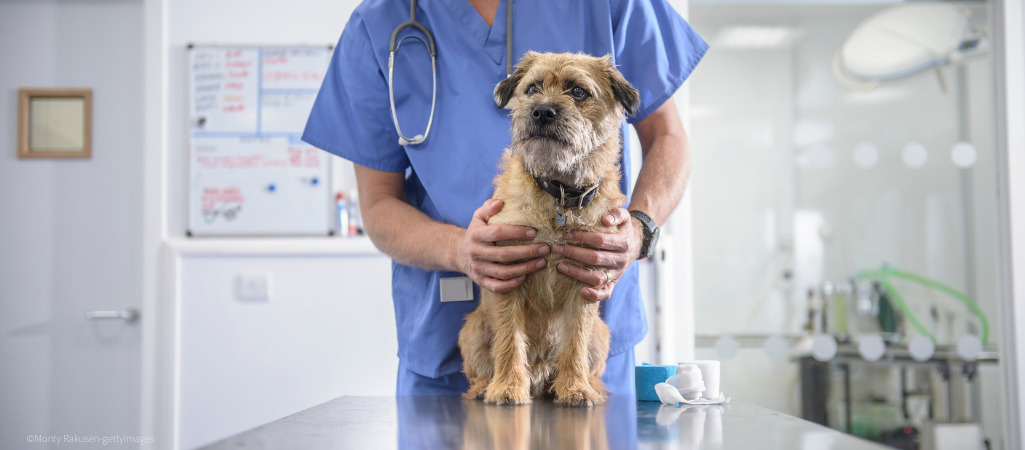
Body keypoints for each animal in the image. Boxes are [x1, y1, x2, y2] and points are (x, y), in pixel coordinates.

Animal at [459, 52, 635, 407]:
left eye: (578, 91)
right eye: (532, 88)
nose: (542, 111)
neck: (560, 194)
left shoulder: (586, 282)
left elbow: (575, 342)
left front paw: (575, 387)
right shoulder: (507, 276)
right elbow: (509, 340)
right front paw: (508, 387)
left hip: (602, 334)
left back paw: (588, 385)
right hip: (472, 329)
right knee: (479, 368)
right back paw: (485, 386)